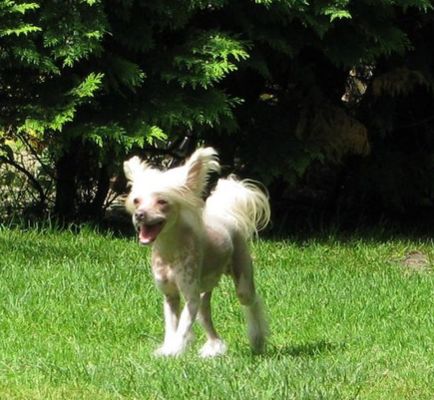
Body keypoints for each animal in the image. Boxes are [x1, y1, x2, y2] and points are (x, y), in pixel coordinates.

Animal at [124, 147, 270, 357]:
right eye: (136, 201)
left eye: (162, 201)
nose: (139, 215)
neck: (169, 251)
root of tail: (226, 214)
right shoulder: (170, 296)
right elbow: (172, 326)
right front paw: (168, 348)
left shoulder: (190, 297)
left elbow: (183, 327)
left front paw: (175, 349)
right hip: (204, 293)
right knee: (206, 317)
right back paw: (214, 348)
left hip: (242, 280)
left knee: (252, 301)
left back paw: (257, 339)